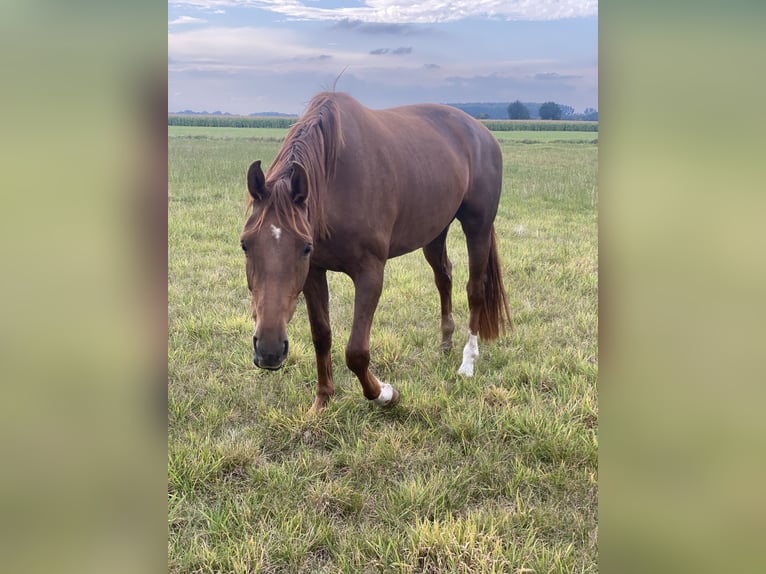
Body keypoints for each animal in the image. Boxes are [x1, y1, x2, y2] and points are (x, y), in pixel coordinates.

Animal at [240, 91, 512, 414]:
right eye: (245, 245)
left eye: (304, 247)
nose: (269, 350)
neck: (336, 183)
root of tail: (483, 133)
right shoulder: (314, 274)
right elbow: (322, 335)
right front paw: (322, 401)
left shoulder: (370, 272)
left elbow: (356, 352)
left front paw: (386, 393)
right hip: (434, 231)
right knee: (444, 278)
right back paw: (445, 344)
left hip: (477, 228)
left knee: (475, 290)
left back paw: (467, 362)